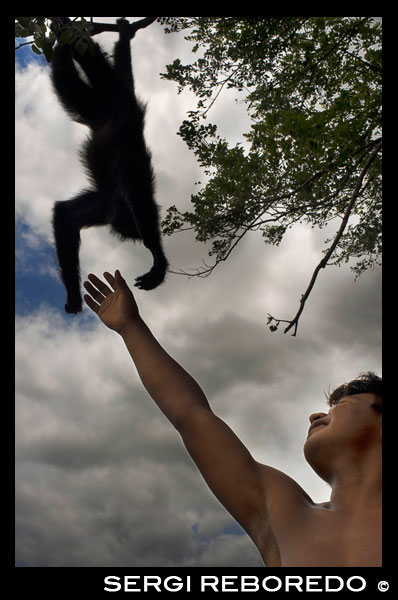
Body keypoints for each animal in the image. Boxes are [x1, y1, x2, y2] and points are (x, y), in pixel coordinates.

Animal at [50, 15, 168, 312]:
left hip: (92, 105)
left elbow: (65, 216)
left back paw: (66, 38)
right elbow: (140, 198)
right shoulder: (128, 180)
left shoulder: (102, 204)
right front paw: (159, 261)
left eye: (119, 221)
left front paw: (72, 295)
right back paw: (71, 29)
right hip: (112, 94)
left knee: (65, 75)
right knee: (92, 60)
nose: (116, 216)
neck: (116, 198)